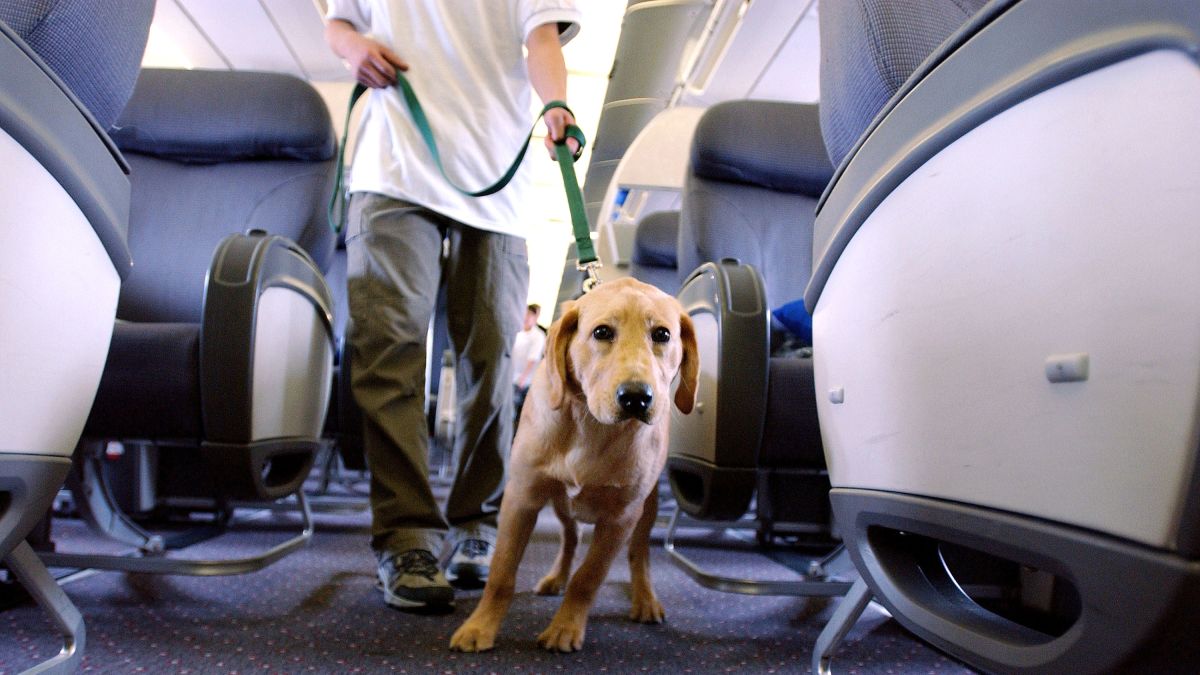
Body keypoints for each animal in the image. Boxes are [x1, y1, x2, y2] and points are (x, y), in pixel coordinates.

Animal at [451, 276, 700, 648]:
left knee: (639, 554)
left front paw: (565, 627)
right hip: (561, 504)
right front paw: (480, 626)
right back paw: (556, 577)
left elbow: (588, 578)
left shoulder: (621, 518)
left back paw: (644, 598)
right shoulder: (521, 498)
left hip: (648, 507)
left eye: (662, 334)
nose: (636, 398)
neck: (590, 426)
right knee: (571, 539)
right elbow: (502, 572)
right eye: (602, 332)